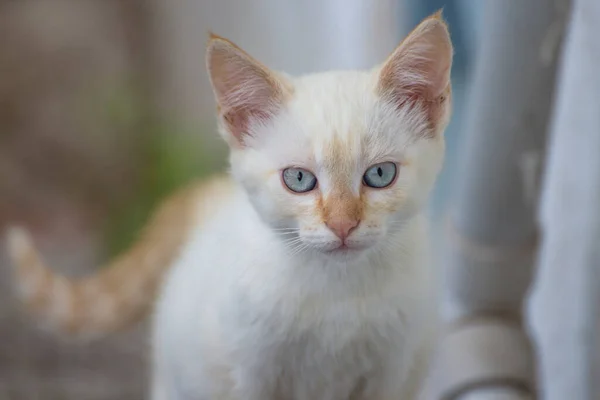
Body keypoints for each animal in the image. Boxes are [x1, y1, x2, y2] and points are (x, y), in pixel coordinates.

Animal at [7, 12, 452, 400]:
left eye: (380, 174)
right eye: (299, 179)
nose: (343, 226)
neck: (335, 292)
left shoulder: (391, 373)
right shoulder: (249, 373)